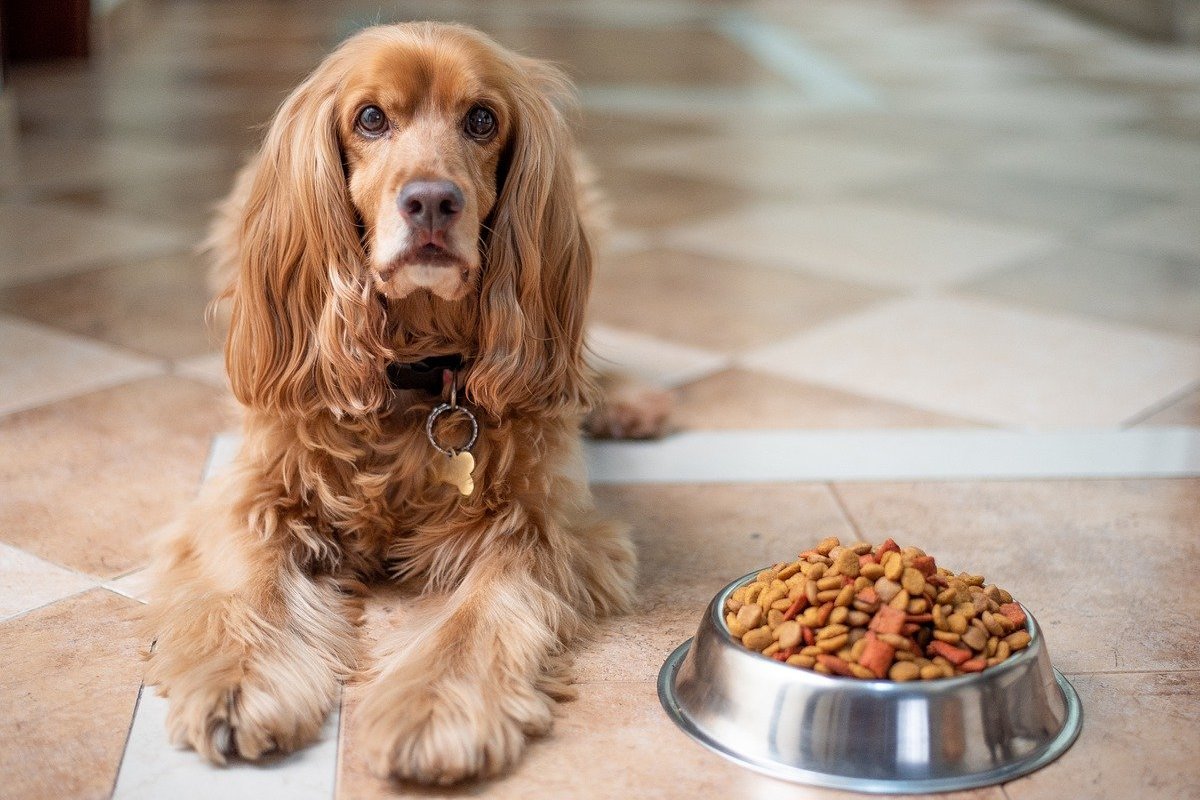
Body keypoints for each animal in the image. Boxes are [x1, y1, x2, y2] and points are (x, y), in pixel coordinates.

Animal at [147, 21, 667, 786]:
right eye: (370, 118)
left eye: (481, 120)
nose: (430, 202)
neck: (415, 374)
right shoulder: (252, 493)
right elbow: (251, 585)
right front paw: (239, 682)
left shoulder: (543, 526)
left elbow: (478, 617)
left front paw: (434, 710)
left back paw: (625, 400)